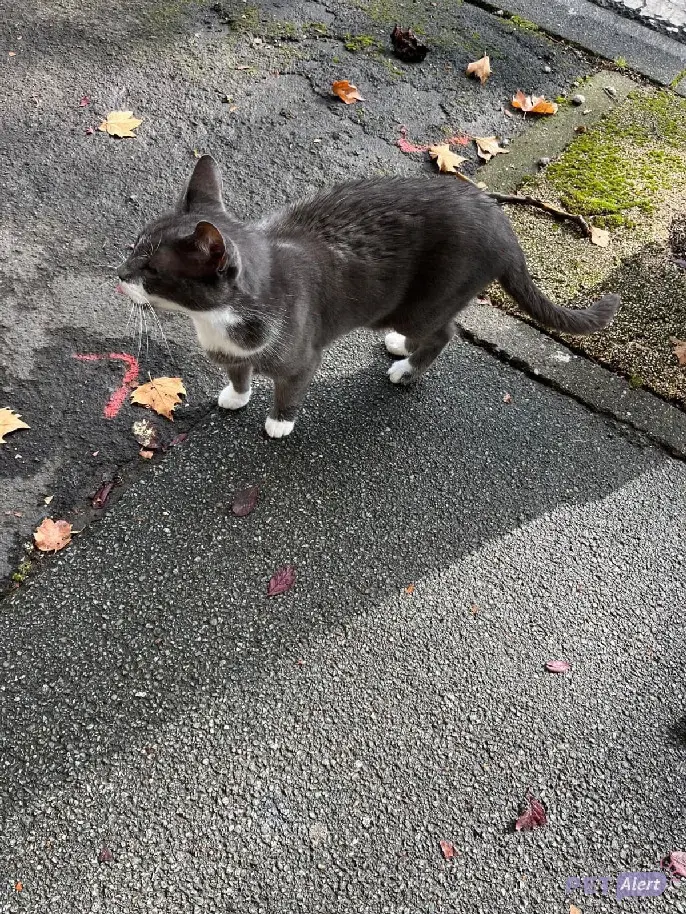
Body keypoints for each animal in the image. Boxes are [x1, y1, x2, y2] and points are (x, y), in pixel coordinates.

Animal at [118, 154, 624, 438]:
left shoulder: (301, 357)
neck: (216, 320)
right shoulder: (232, 353)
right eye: (132, 248)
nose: (118, 275)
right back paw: (399, 347)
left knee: (444, 332)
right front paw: (236, 395)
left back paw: (405, 367)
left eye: (152, 270)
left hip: (426, 302)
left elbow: (290, 387)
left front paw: (279, 422)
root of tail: (501, 221)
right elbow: (239, 373)